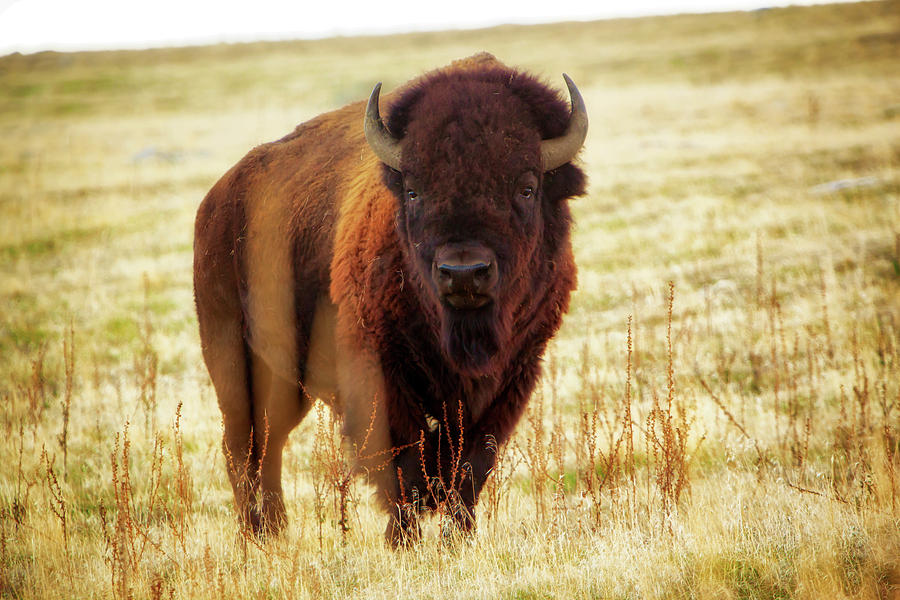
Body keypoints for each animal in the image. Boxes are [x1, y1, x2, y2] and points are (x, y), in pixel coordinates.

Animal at [193, 54, 588, 548]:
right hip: (229, 360)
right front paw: (403, 540)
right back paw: (258, 535)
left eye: (527, 187)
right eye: (414, 189)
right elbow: (404, 464)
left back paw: (276, 532)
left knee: (269, 443)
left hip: (284, 380)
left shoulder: (514, 376)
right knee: (243, 446)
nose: (463, 272)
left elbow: (473, 465)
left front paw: (457, 539)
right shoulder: (381, 375)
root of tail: (217, 200)